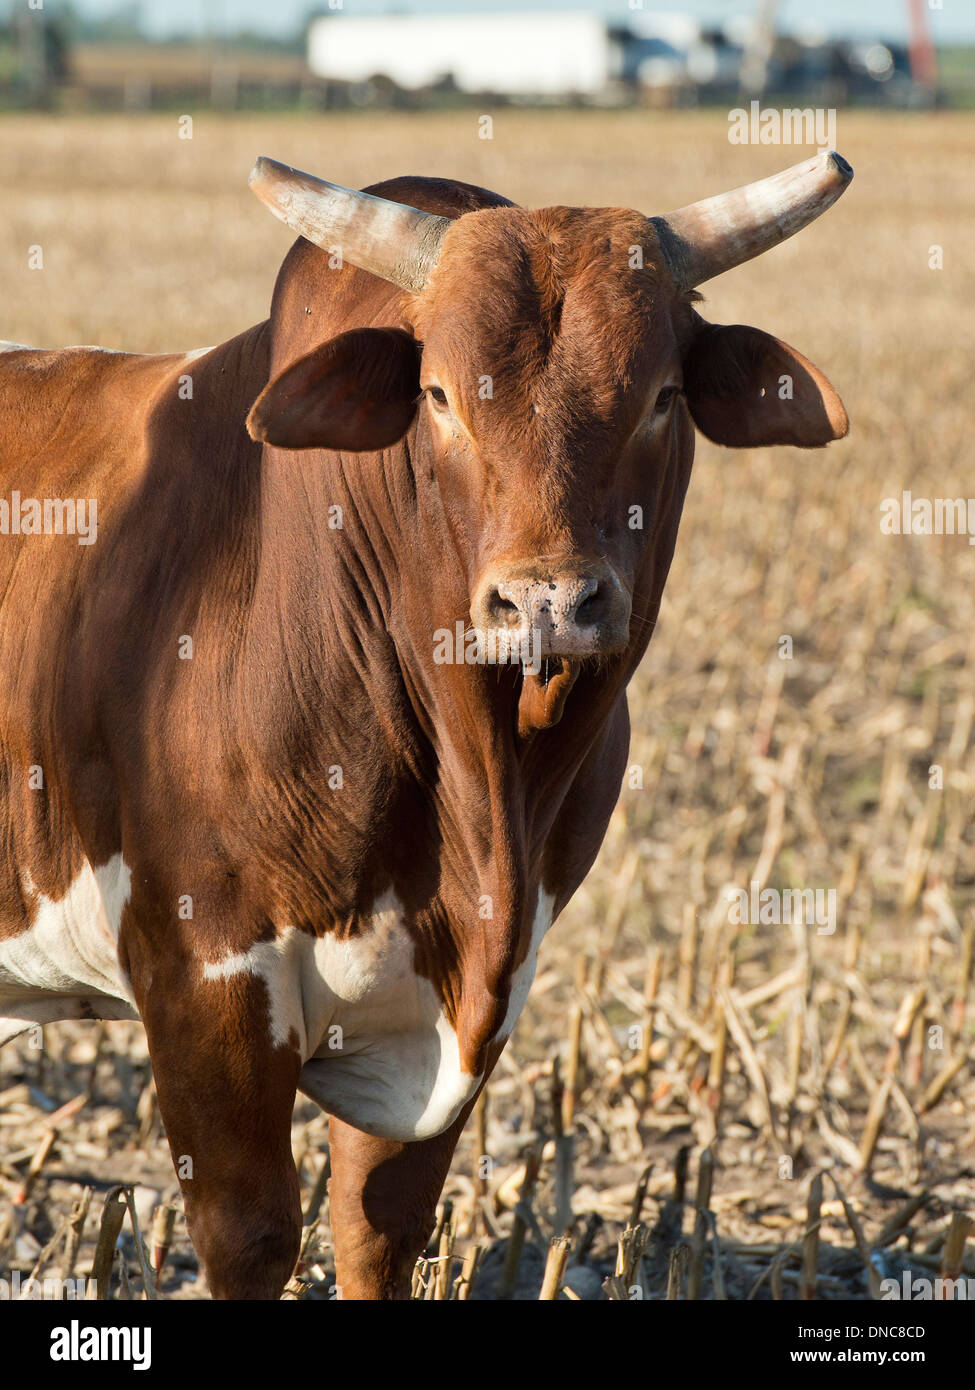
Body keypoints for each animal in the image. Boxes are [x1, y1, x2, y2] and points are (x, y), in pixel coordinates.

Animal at [0, 146, 845, 1295]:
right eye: (438, 394)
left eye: (663, 394)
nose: (547, 601)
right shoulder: (204, 985)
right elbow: (254, 1235)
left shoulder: (468, 1005)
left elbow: (379, 1229)